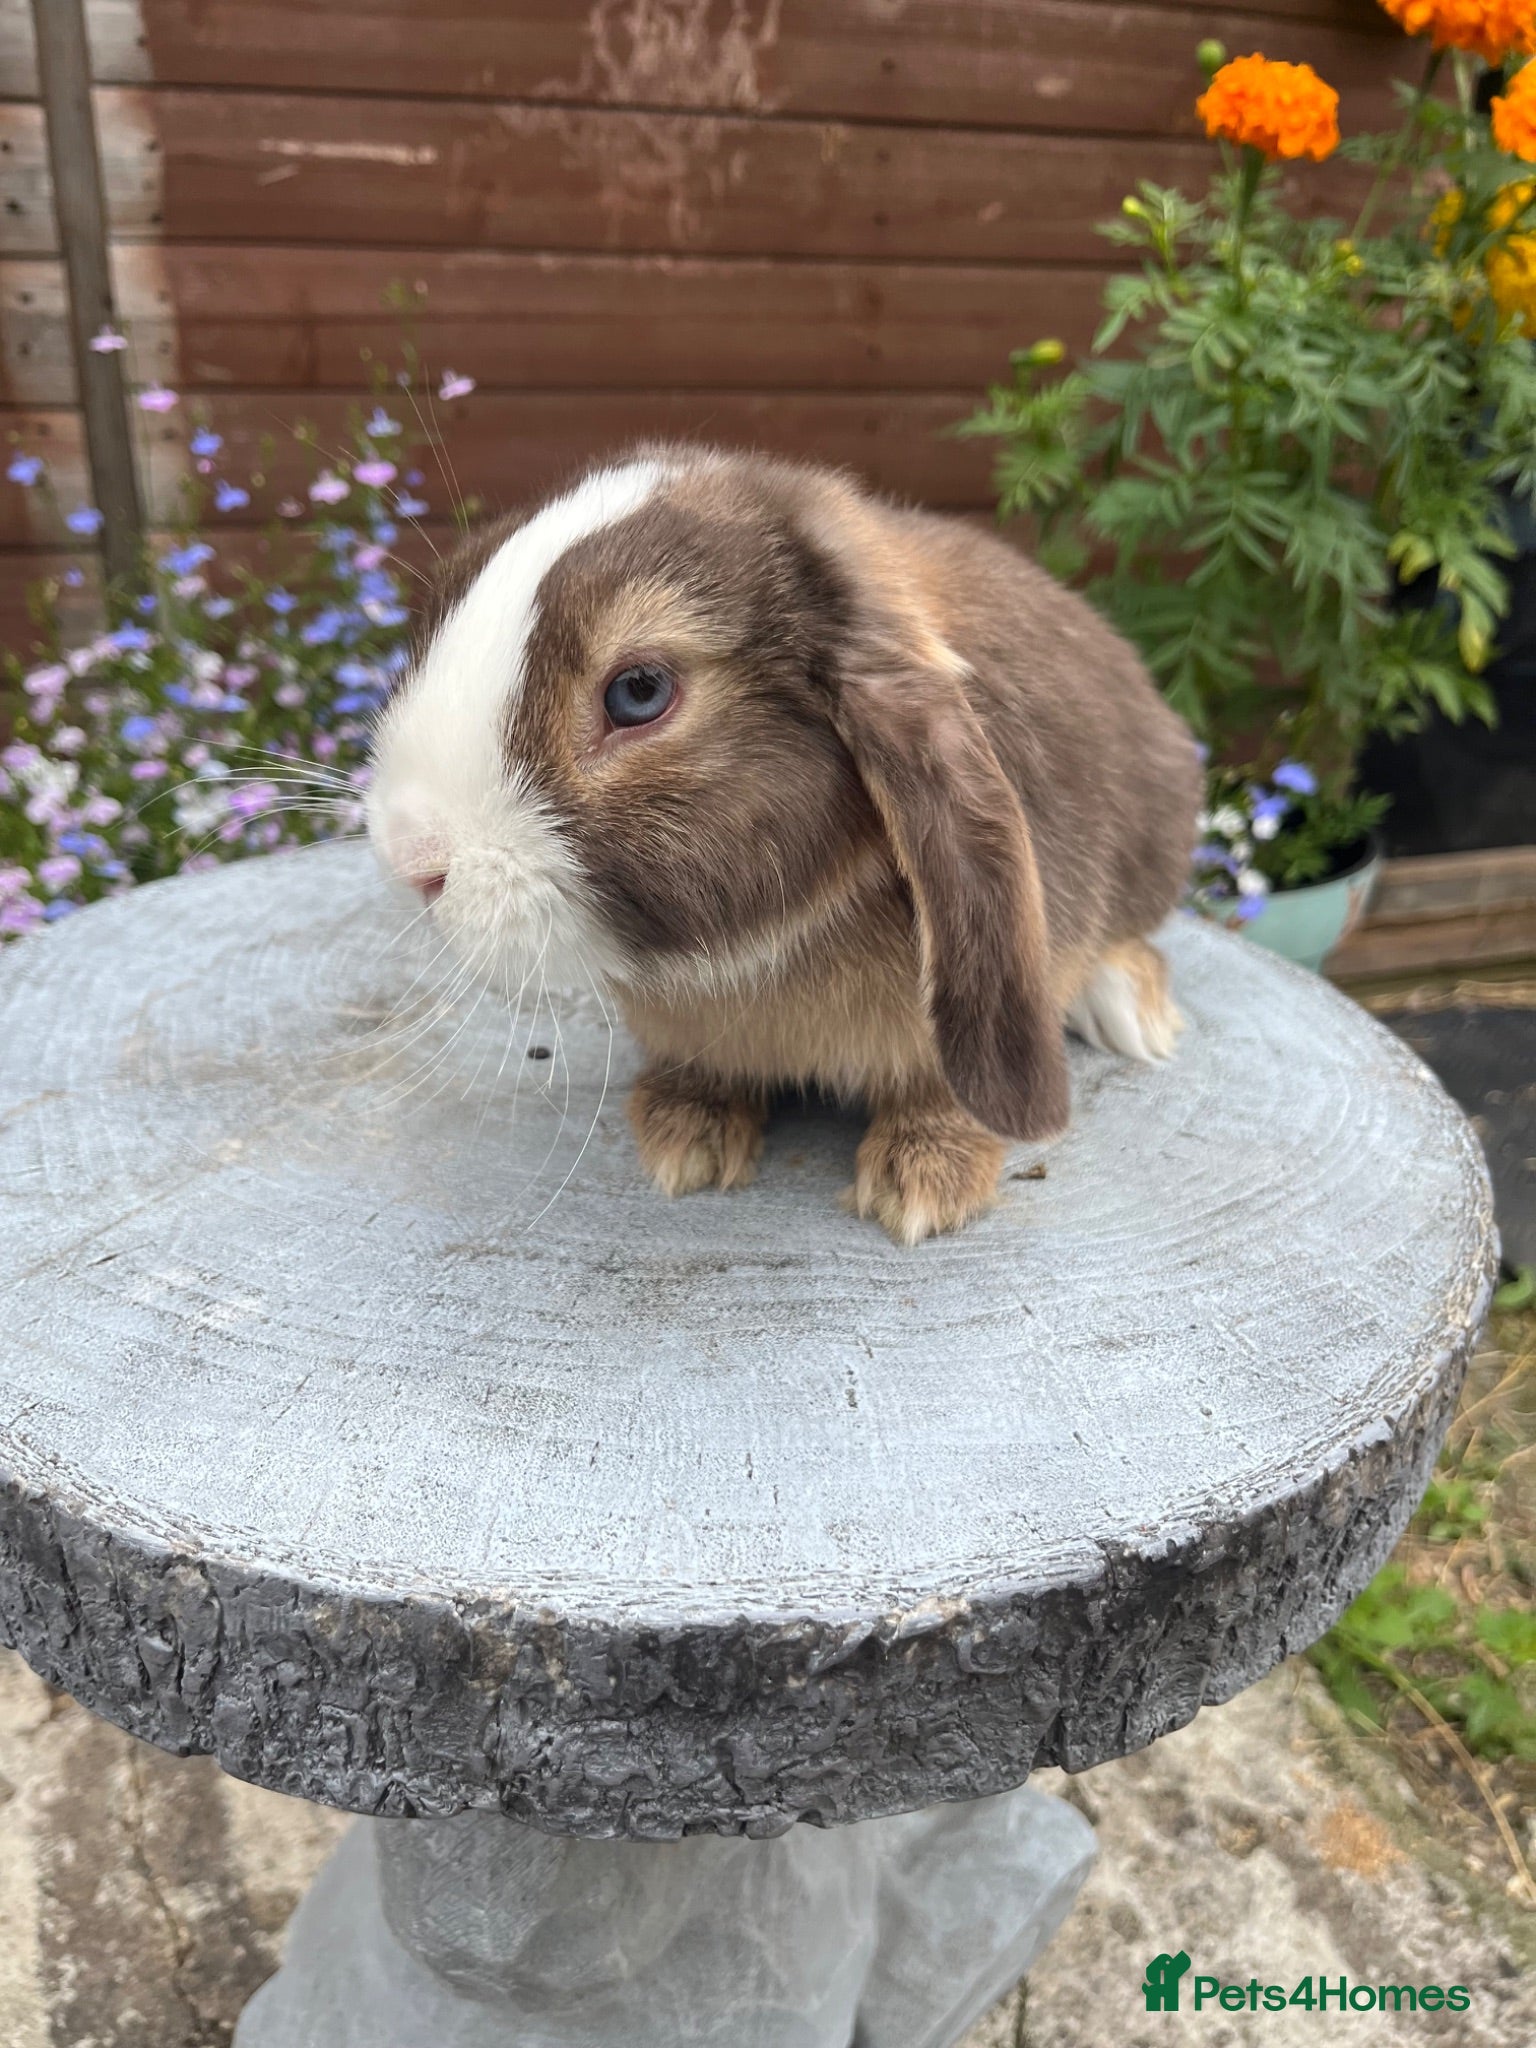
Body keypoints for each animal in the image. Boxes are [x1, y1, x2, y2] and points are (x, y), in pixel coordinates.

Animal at [366, 446, 1203, 1243]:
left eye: (638, 691)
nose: (412, 859)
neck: (758, 957)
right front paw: (686, 1135)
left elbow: (946, 1078)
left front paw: (924, 1181)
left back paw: (1130, 1007)